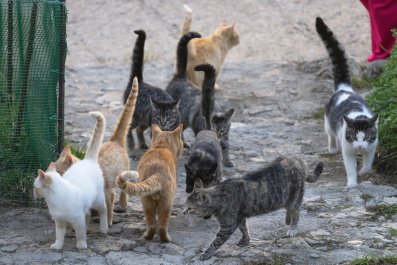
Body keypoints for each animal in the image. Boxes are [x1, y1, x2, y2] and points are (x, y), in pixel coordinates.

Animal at [185, 156, 322, 258]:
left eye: (190, 208)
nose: (184, 213)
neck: (220, 197)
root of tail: (297, 159)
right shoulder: (240, 217)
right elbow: (244, 229)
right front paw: (245, 241)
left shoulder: (227, 225)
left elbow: (216, 242)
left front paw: (206, 253)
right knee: (290, 209)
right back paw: (287, 220)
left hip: (294, 197)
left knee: (296, 211)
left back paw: (292, 227)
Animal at [316, 17, 378, 186]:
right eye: (354, 137)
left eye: (366, 137)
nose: (359, 145)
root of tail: (344, 88)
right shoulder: (347, 148)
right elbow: (350, 167)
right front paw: (352, 184)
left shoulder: (372, 146)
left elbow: (368, 163)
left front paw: (363, 171)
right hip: (328, 121)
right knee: (330, 133)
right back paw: (332, 148)